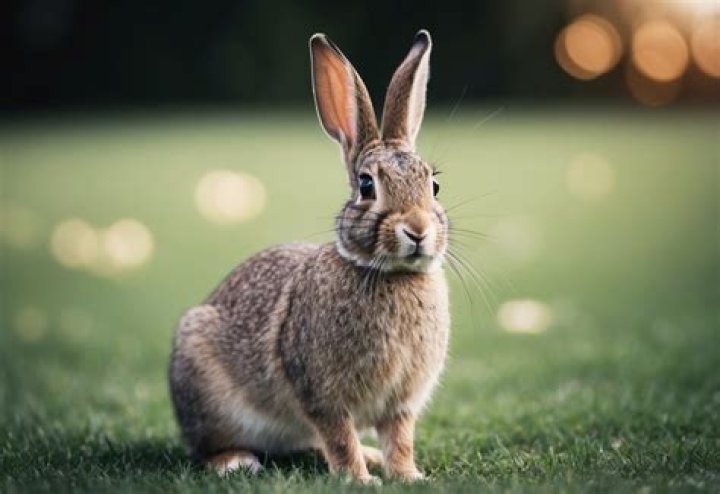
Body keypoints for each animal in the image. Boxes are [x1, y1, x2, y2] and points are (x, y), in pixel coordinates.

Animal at [169, 29, 450, 484]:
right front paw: (359, 480)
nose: (418, 230)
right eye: (367, 186)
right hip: (208, 393)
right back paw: (235, 462)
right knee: (209, 447)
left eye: (435, 186)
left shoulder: (401, 403)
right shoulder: (321, 394)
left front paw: (408, 476)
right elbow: (339, 436)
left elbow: (400, 439)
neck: (391, 274)